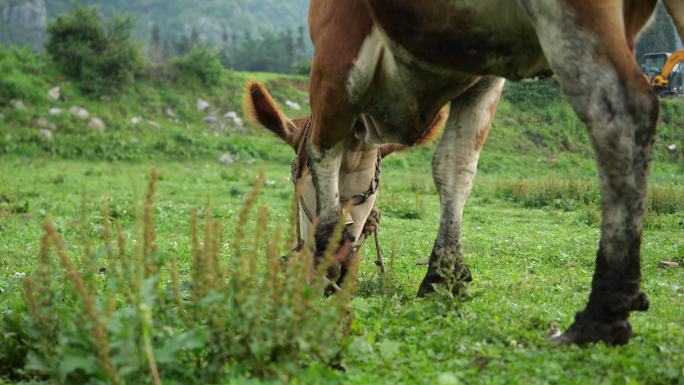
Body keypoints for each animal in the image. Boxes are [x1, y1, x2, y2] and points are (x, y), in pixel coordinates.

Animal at [296, 0, 684, 344]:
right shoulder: (485, 76)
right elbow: (454, 164)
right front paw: (443, 277)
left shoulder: (334, 56)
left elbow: (322, 155)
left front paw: (325, 260)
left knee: (619, 117)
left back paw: (600, 315)